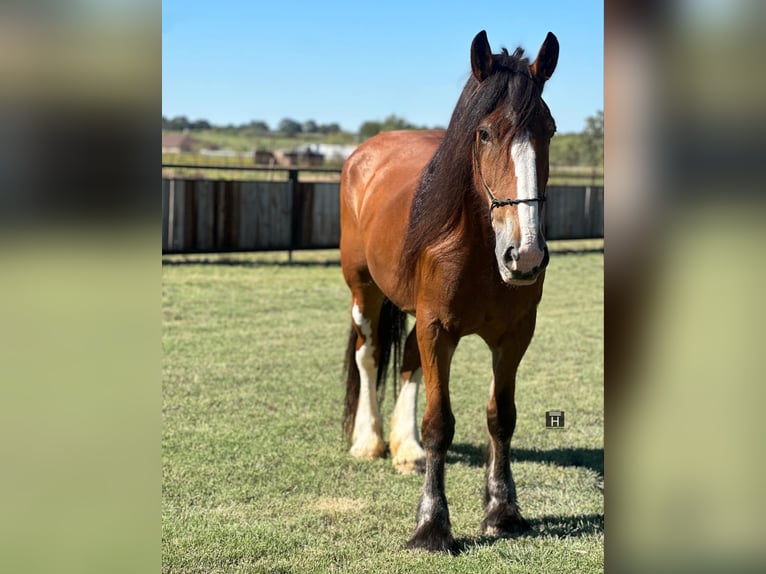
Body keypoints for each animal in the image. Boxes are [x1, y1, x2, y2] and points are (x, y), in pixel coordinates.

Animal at [340, 30, 560, 552]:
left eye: (550, 130)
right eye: (484, 133)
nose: (525, 255)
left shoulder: (514, 336)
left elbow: (501, 417)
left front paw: (502, 511)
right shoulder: (439, 328)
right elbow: (440, 423)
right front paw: (432, 525)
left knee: (407, 363)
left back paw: (406, 448)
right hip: (363, 289)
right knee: (368, 354)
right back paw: (369, 441)